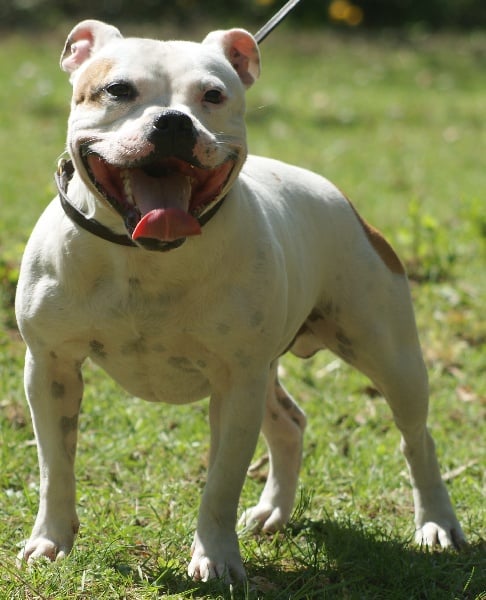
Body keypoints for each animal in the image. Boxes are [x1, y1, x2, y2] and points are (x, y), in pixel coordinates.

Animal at [15, 20, 466, 582]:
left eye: (213, 95)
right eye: (118, 90)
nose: (173, 122)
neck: (147, 258)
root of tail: (338, 195)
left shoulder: (234, 384)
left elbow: (222, 483)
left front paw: (216, 558)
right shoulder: (51, 367)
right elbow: (55, 465)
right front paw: (50, 540)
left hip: (390, 357)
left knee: (416, 438)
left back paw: (437, 523)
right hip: (268, 372)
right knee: (290, 424)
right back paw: (273, 511)